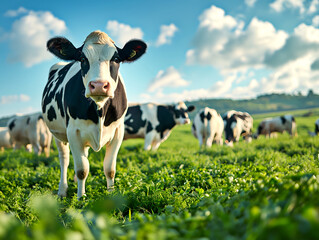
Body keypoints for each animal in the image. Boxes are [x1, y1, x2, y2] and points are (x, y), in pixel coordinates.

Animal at [41, 30, 148, 199]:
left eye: (116, 59)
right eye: (82, 59)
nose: (98, 85)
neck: (99, 110)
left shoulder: (118, 132)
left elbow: (110, 169)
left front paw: (111, 194)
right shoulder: (73, 132)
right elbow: (82, 170)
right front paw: (81, 198)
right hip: (58, 134)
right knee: (64, 160)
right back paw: (62, 190)